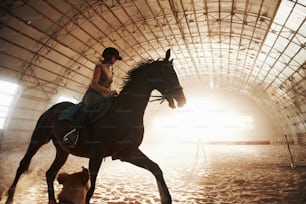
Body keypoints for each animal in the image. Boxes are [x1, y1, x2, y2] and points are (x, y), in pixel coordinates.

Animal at [4, 49, 186, 204]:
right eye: (168, 74)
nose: (182, 100)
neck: (124, 112)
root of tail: (52, 108)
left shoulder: (127, 152)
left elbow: (156, 168)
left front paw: (166, 198)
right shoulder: (97, 156)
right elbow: (91, 189)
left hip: (62, 150)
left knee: (50, 173)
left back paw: (52, 200)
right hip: (39, 138)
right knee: (23, 165)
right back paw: (10, 197)